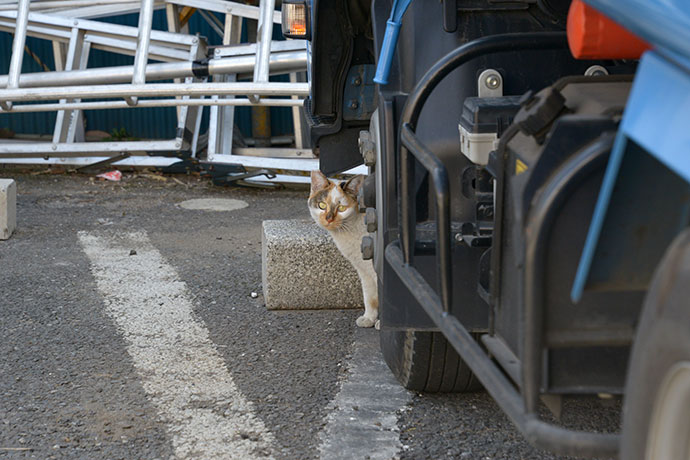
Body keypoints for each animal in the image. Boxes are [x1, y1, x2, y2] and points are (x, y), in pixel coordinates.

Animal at [310, 171, 378, 328]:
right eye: (322, 205)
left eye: (341, 209)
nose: (329, 219)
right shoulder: (364, 270)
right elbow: (370, 297)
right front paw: (369, 318)